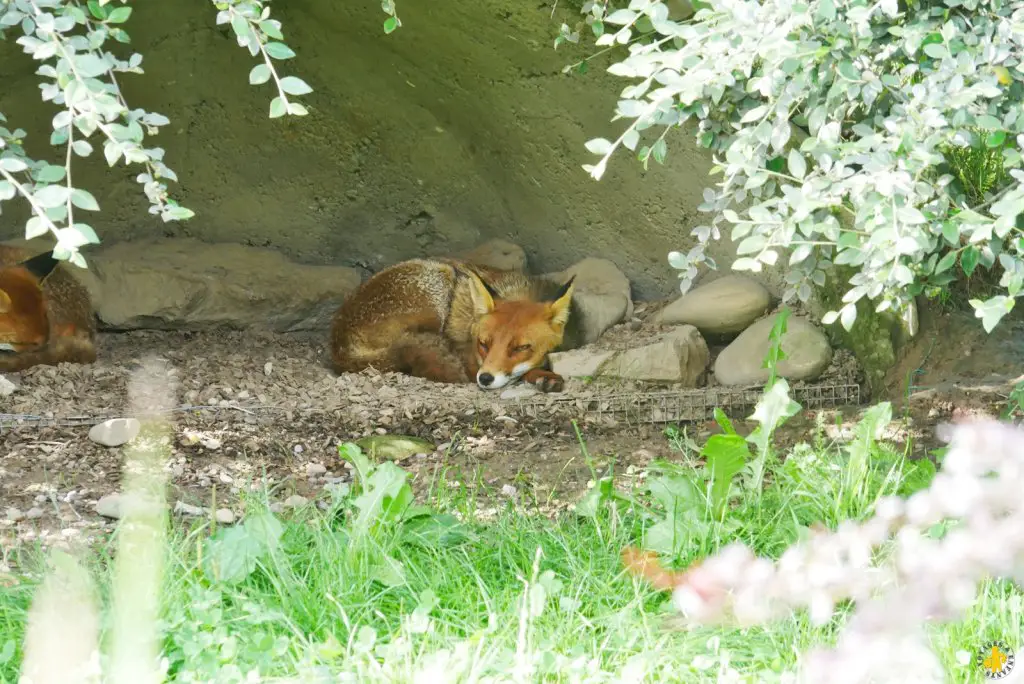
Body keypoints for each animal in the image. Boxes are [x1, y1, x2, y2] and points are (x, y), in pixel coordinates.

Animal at [331, 258, 581, 395]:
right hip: (439, 279)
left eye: (521, 348)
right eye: (483, 344)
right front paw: (542, 375)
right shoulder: (469, 356)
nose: (485, 379)